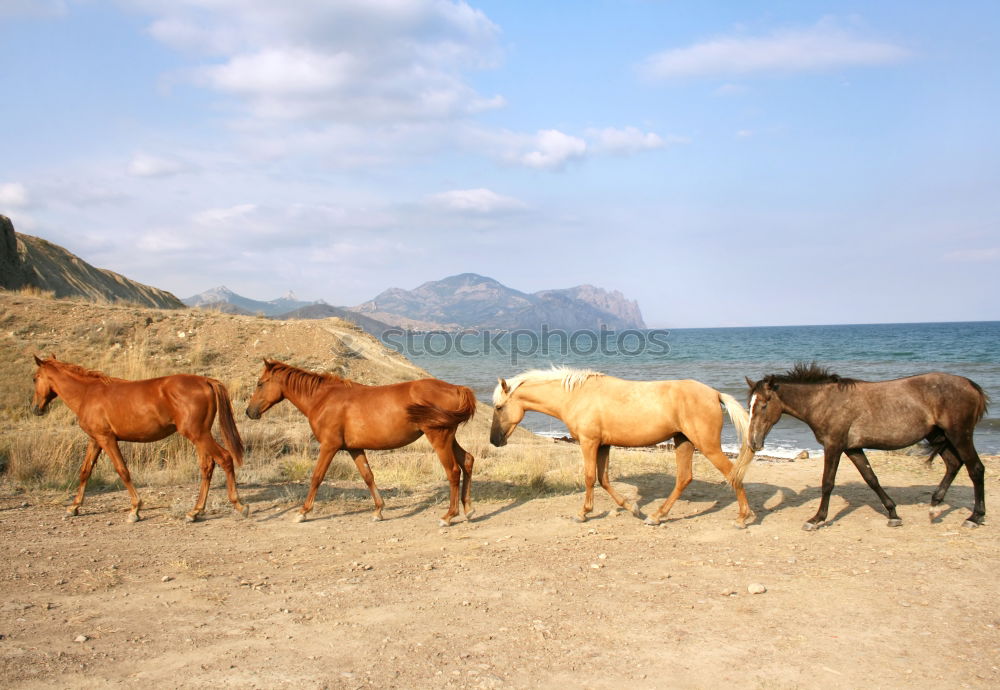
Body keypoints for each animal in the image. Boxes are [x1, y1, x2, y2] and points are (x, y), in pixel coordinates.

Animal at [30, 354, 249, 520]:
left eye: (34, 378)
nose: (35, 409)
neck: (88, 393)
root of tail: (206, 381)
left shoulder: (107, 439)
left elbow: (122, 470)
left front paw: (135, 509)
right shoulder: (95, 440)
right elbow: (85, 471)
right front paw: (74, 507)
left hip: (198, 435)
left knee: (225, 458)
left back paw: (239, 505)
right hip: (200, 436)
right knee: (207, 467)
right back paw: (194, 512)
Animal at [243, 358, 476, 524]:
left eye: (260, 384)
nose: (249, 412)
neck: (323, 398)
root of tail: (456, 388)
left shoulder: (329, 447)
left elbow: (316, 477)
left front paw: (303, 511)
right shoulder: (354, 449)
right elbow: (368, 477)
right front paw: (378, 510)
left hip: (439, 438)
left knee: (453, 471)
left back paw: (449, 515)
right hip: (449, 438)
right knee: (467, 461)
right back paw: (468, 509)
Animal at [488, 368, 752, 524]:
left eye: (499, 407)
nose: (494, 440)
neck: (576, 396)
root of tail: (715, 393)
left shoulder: (589, 443)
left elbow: (589, 477)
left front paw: (583, 513)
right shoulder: (604, 445)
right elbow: (603, 479)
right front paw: (633, 508)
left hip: (706, 445)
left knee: (732, 474)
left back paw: (743, 516)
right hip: (683, 441)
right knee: (684, 478)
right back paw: (656, 516)